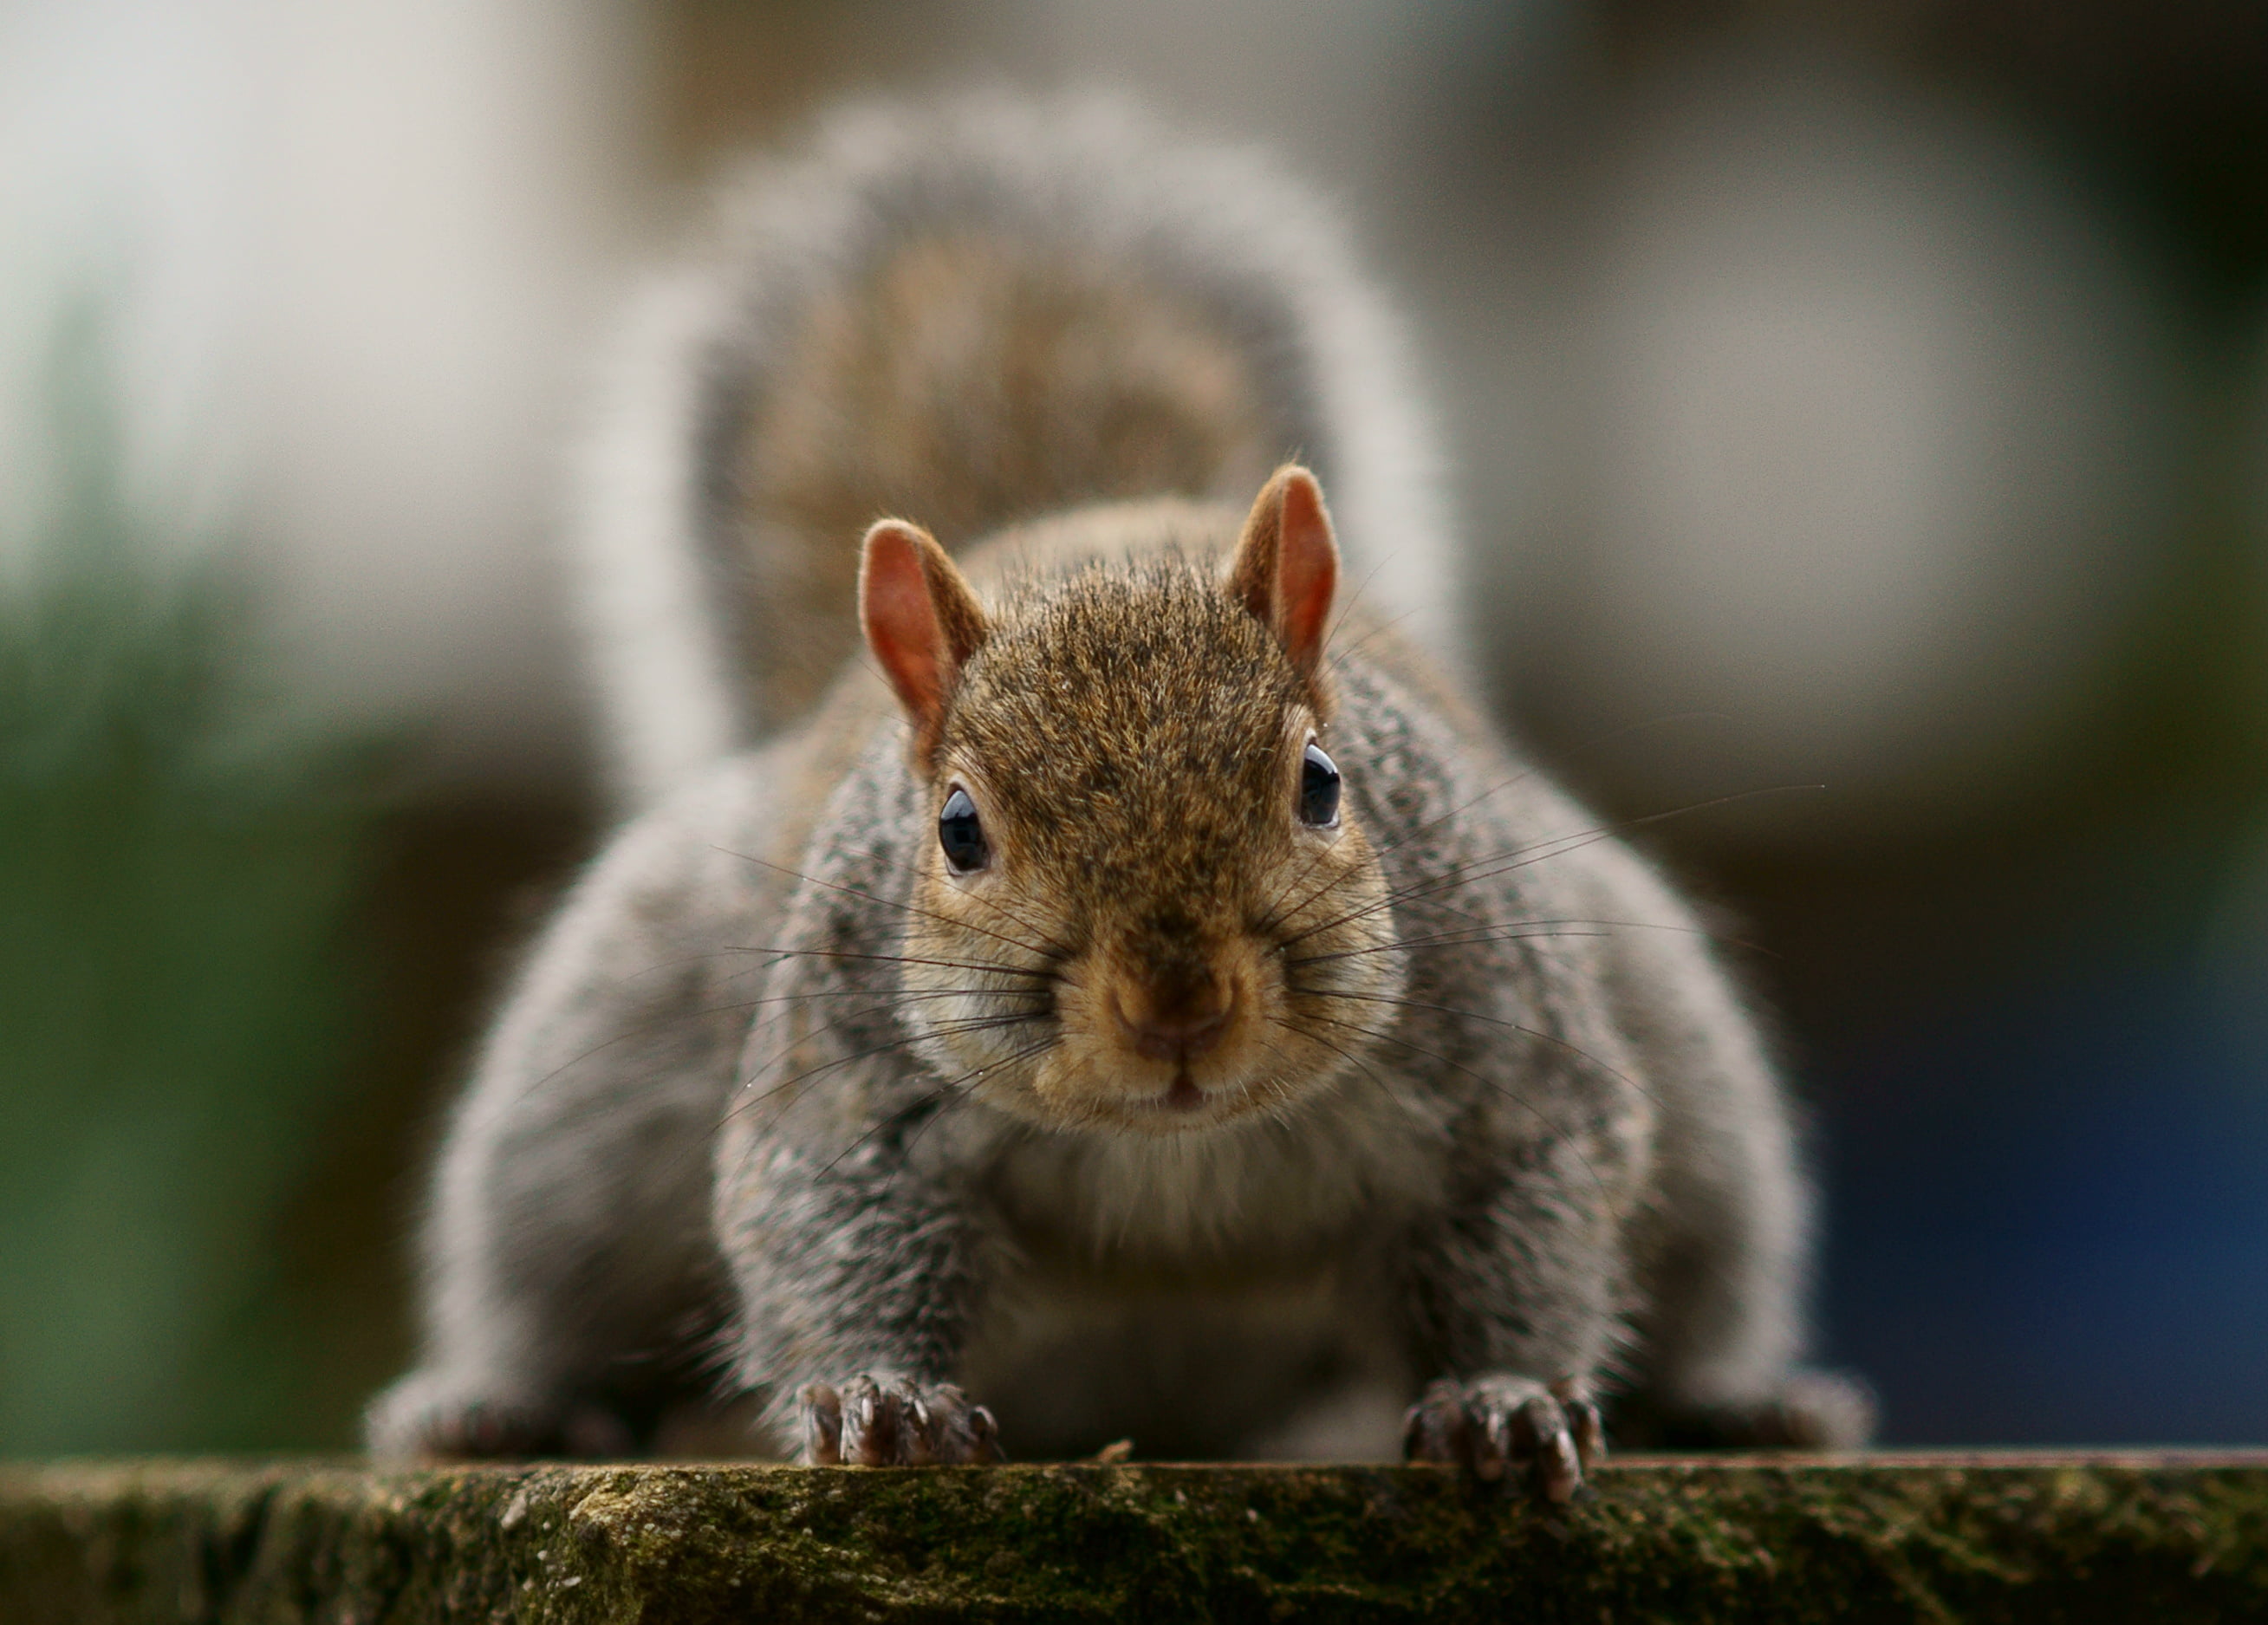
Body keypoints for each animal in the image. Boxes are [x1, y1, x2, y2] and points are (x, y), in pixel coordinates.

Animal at [367, 93, 1871, 1496]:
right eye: (957, 828)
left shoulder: (1506, 1047)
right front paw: (881, 1400)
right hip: (600, 1077)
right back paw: (497, 1403)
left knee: (1705, 1253)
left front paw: (1501, 1400)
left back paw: (1737, 1397)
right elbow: (825, 1206)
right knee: (545, 1263)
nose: (1178, 1004)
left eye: (1322, 784)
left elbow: (1528, 1215)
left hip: (1681, 1057)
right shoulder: (843, 1062)